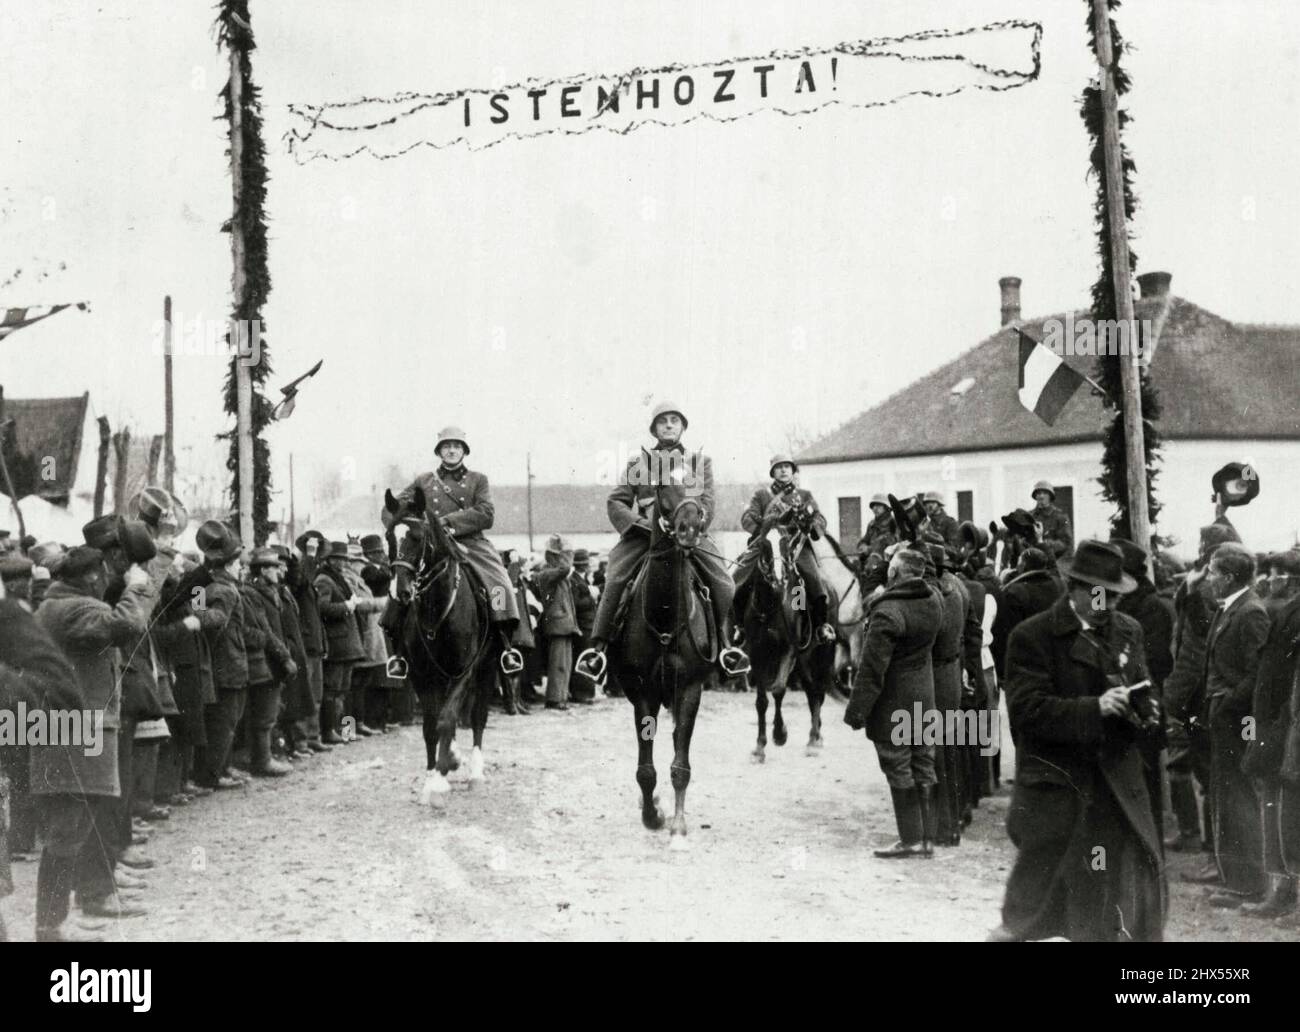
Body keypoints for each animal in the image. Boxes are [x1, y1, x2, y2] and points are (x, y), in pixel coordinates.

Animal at [382, 486, 499, 800]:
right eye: (388, 536)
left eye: (417, 537)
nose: (401, 591)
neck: (437, 611)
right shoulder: (422, 675)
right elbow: (431, 726)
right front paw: (433, 776)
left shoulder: (464, 671)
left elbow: (448, 718)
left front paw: (447, 766)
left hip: (486, 669)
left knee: (477, 716)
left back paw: (475, 771)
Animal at [595, 475, 717, 842]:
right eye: (661, 485)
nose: (690, 529)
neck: (664, 616)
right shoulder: (642, 694)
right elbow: (645, 771)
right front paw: (653, 816)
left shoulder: (689, 689)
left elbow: (680, 764)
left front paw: (677, 823)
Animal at [748, 501, 837, 759]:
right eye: (763, 543)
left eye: (786, 543)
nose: (779, 578)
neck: (771, 605)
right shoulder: (756, 654)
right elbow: (761, 701)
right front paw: (760, 746)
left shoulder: (789, 650)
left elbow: (778, 690)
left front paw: (779, 734)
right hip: (804, 660)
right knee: (810, 691)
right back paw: (814, 736)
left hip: (821, 655)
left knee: (818, 691)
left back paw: (814, 739)